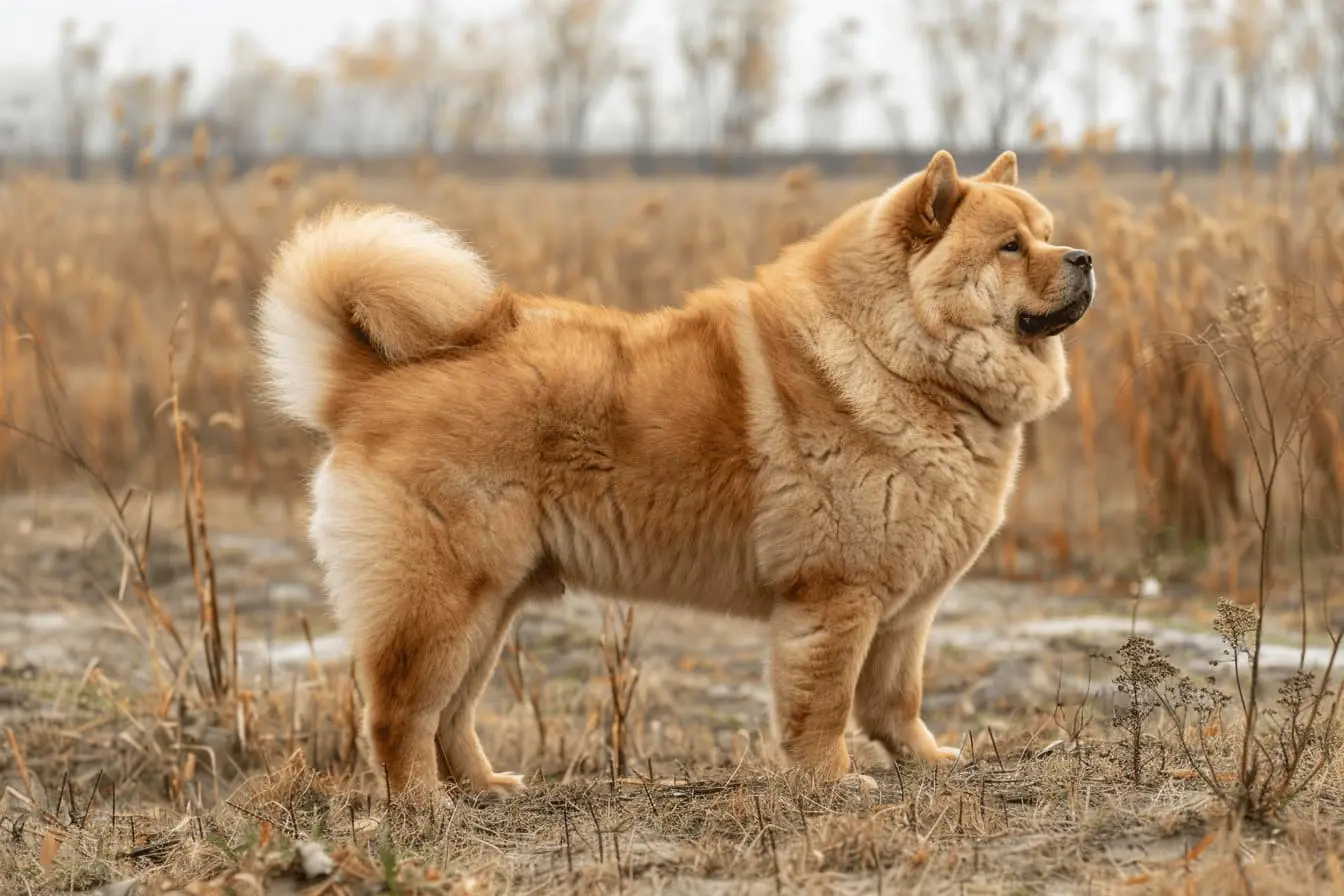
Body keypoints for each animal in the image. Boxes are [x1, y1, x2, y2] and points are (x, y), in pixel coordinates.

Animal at [254, 150, 1102, 800]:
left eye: (1047, 235)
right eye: (1011, 247)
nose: (1085, 258)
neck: (897, 354)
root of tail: (369, 382)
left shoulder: (903, 610)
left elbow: (897, 697)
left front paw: (926, 762)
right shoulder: (837, 595)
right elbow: (824, 704)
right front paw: (832, 780)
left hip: (491, 606)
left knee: (452, 714)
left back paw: (487, 788)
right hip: (441, 599)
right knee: (400, 713)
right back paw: (422, 808)